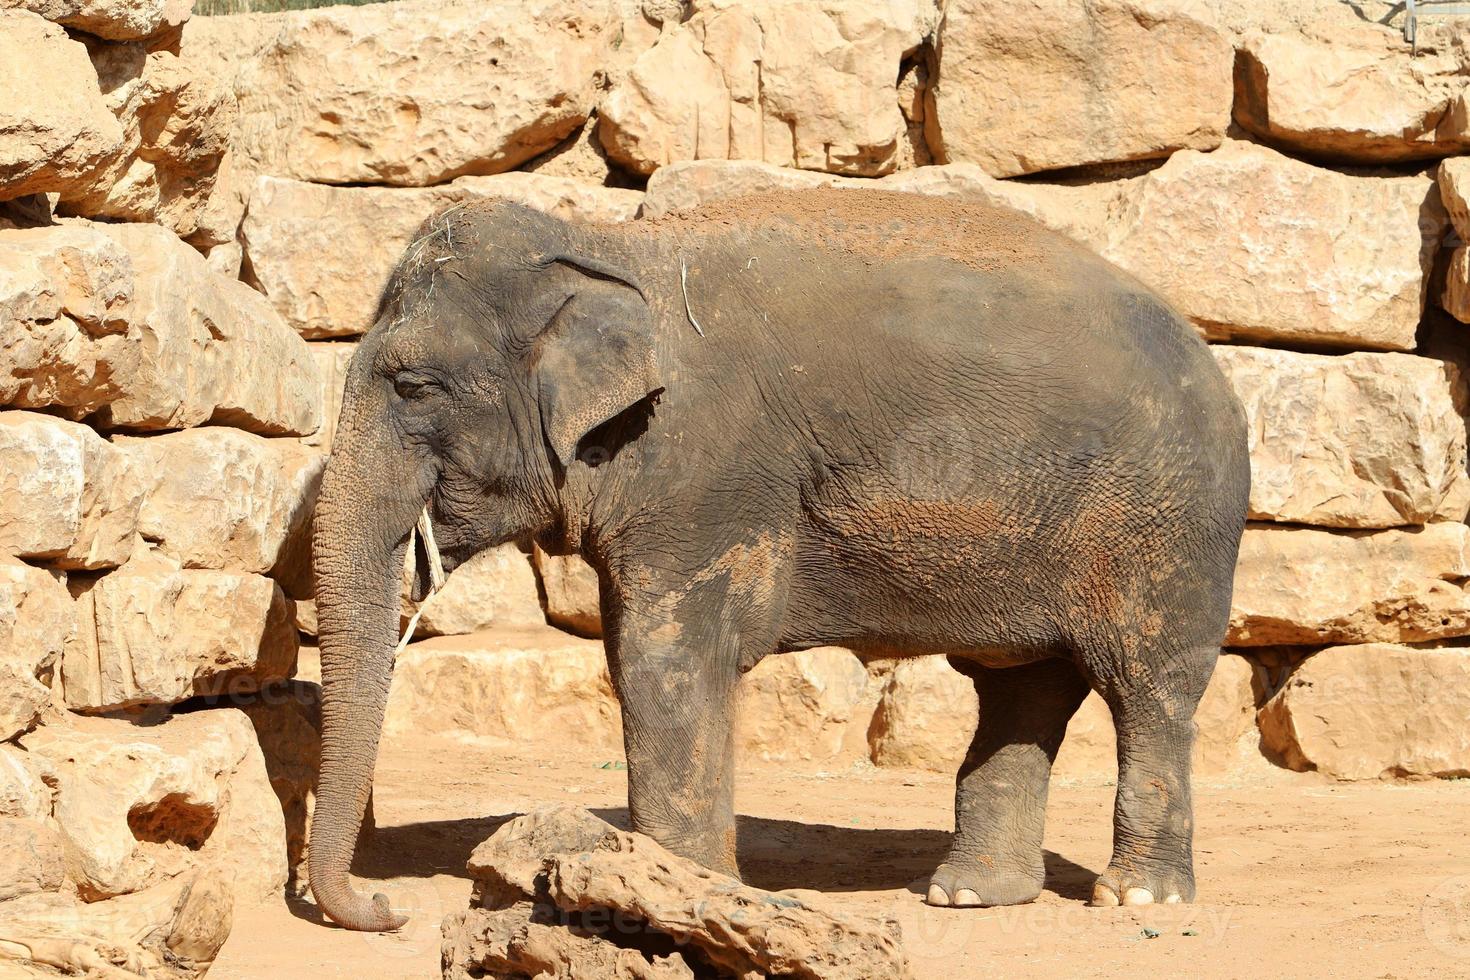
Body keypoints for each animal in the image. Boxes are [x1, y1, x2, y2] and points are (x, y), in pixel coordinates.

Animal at [310, 188, 1252, 934]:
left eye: (413, 388)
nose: (390, 908)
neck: (611, 246)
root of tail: (1210, 353)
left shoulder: (706, 469)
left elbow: (662, 658)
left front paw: (668, 891)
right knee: (1021, 688)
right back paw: (969, 896)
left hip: (1165, 523)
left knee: (1148, 685)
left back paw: (1137, 899)